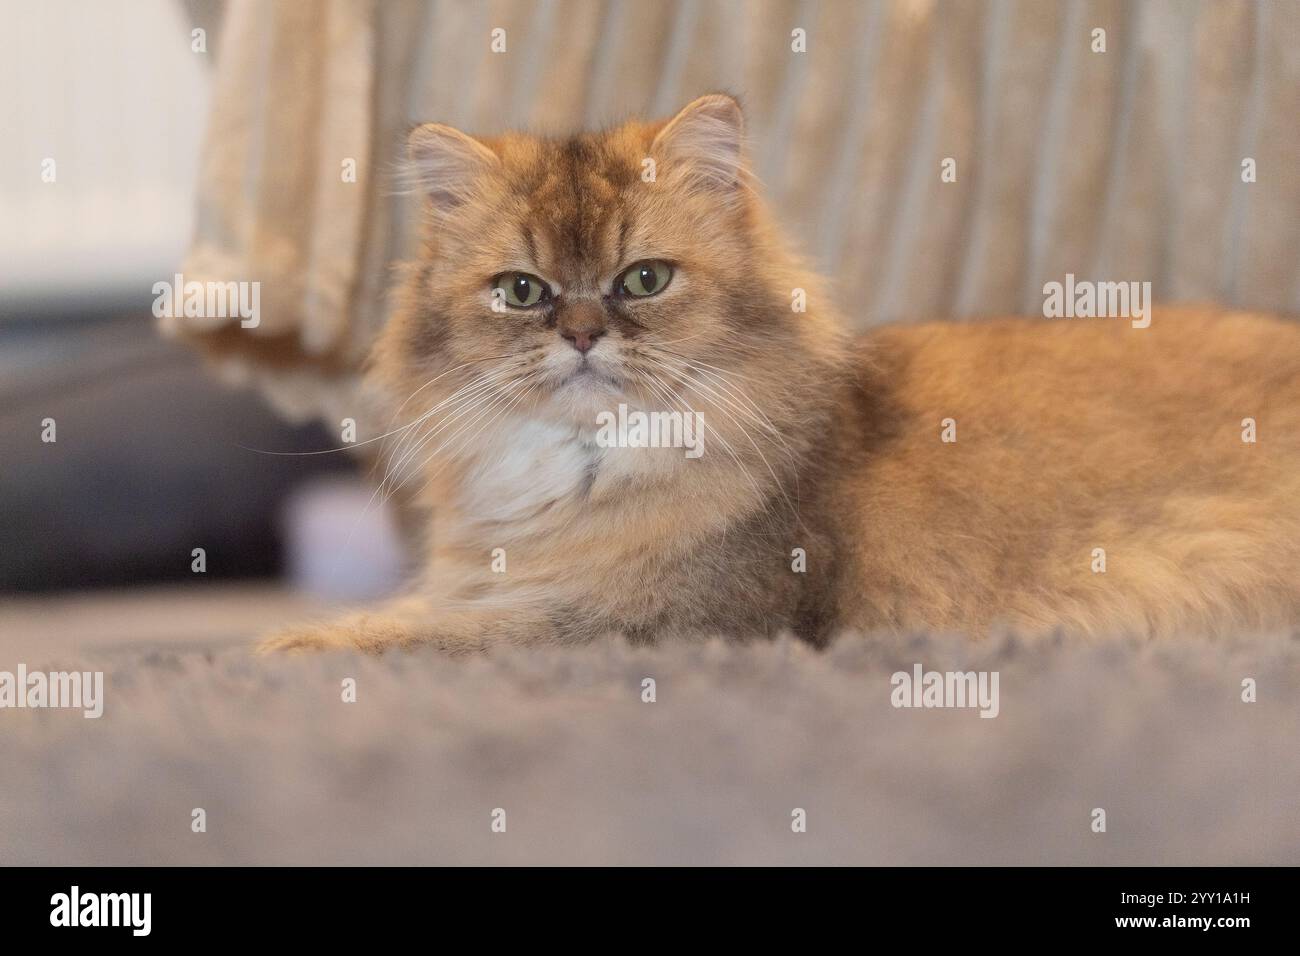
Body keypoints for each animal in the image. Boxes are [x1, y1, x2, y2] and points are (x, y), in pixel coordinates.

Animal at [261, 95, 1300, 650]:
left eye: (644, 279)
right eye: (523, 291)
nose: (584, 334)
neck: (589, 469)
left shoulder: (659, 617)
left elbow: (439, 630)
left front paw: (293, 643)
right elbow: (424, 606)